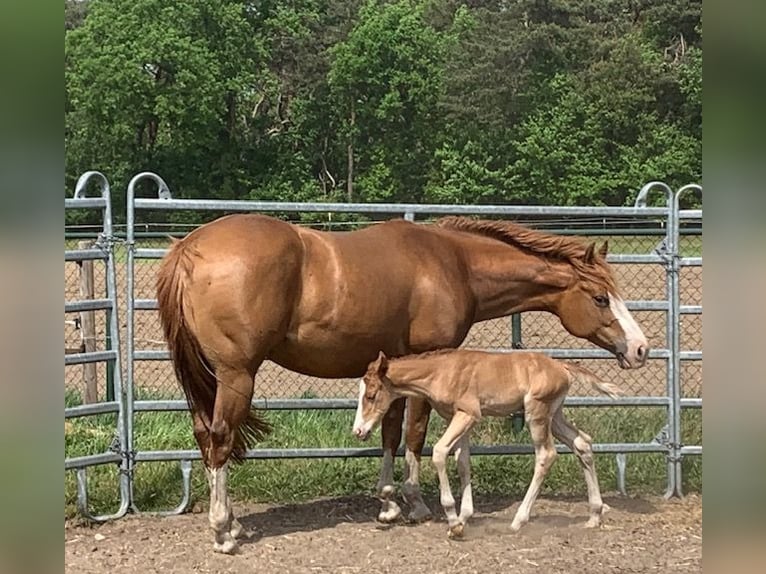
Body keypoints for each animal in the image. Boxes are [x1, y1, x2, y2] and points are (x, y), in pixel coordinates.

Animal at [356, 352, 628, 540]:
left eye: (371, 395)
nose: (359, 431)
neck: (441, 371)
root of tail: (562, 366)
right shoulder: (460, 418)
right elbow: (463, 462)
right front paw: (464, 517)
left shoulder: (468, 414)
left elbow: (440, 453)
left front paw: (453, 522)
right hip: (556, 415)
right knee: (583, 443)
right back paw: (594, 515)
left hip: (537, 413)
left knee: (546, 455)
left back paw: (519, 520)